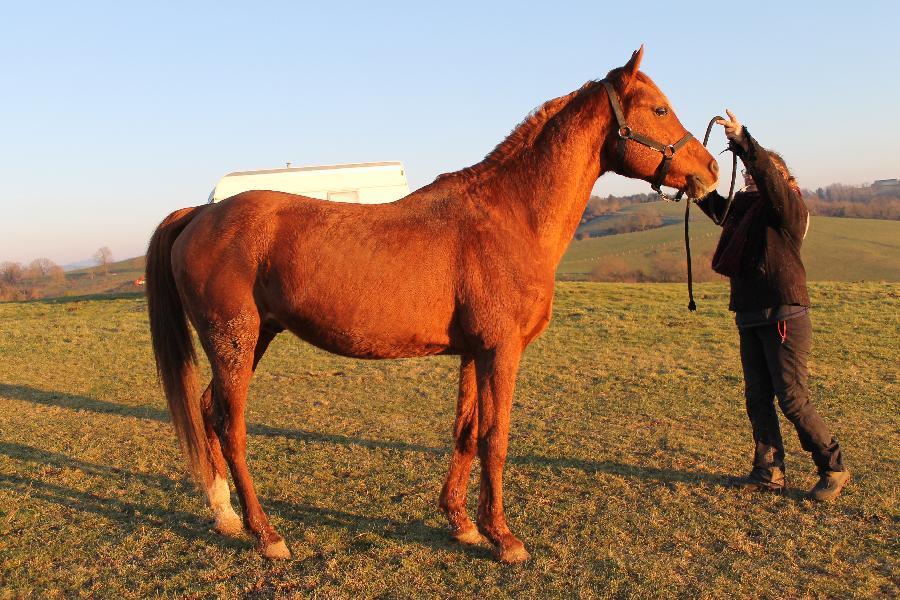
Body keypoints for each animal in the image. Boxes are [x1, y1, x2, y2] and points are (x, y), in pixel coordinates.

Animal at [149, 48, 716, 564]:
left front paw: (462, 524)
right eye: (660, 109)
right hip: (235, 340)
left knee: (207, 411)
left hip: (252, 339)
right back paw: (266, 534)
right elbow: (495, 438)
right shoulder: (501, 351)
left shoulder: (473, 353)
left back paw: (225, 515)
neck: (509, 216)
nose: (710, 171)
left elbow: (465, 434)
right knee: (230, 426)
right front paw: (504, 538)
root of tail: (200, 213)